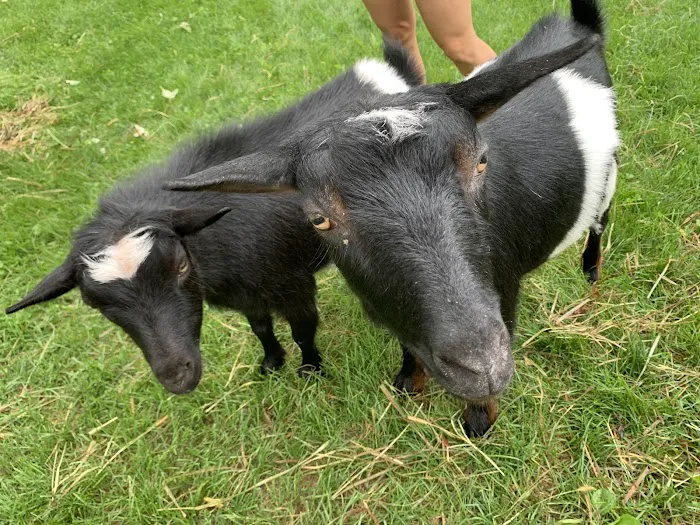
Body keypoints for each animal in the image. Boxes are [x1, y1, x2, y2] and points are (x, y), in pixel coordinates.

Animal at [5, 46, 421, 394]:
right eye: (98, 305)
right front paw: (271, 363)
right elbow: (260, 328)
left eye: (180, 266)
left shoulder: (293, 283)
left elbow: (303, 331)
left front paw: (310, 370)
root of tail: (382, 68)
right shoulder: (247, 294)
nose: (178, 377)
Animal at [168, 0, 618, 435]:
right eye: (319, 219)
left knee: (600, 222)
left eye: (481, 162)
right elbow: (408, 348)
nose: (482, 366)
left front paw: (479, 421)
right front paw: (408, 384)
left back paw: (591, 273)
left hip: (609, 174)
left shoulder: (504, 289)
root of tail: (573, 26)